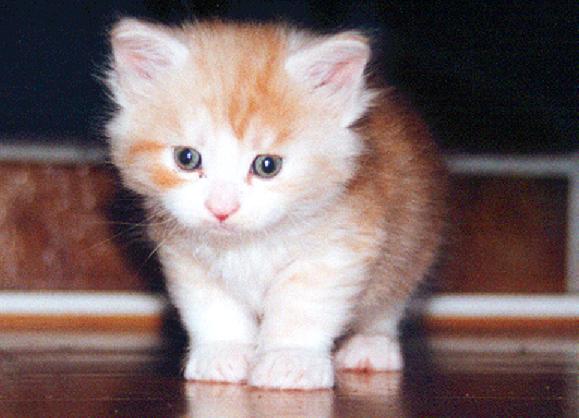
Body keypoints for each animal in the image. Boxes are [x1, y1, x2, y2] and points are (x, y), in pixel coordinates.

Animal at [106, 18, 446, 390]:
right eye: (186, 158)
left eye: (267, 166)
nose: (221, 208)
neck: (248, 245)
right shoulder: (184, 254)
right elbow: (212, 305)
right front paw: (224, 353)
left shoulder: (343, 244)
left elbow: (301, 305)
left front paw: (290, 359)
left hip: (414, 239)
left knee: (390, 301)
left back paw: (372, 345)